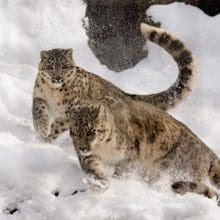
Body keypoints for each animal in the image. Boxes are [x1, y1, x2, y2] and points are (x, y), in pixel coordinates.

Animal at [32, 23, 196, 142]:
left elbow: (58, 125)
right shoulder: (40, 96)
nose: (57, 78)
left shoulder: (71, 110)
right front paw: (41, 129)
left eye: (65, 66)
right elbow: (39, 112)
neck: (54, 93)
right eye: (50, 66)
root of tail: (126, 94)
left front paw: (47, 138)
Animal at [69, 97, 220, 205]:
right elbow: (93, 169)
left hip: (171, 169)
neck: (104, 148)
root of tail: (207, 150)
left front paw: (117, 182)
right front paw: (101, 183)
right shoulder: (89, 156)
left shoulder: (131, 155)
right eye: (74, 132)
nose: (82, 148)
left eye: (90, 131)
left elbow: (122, 170)